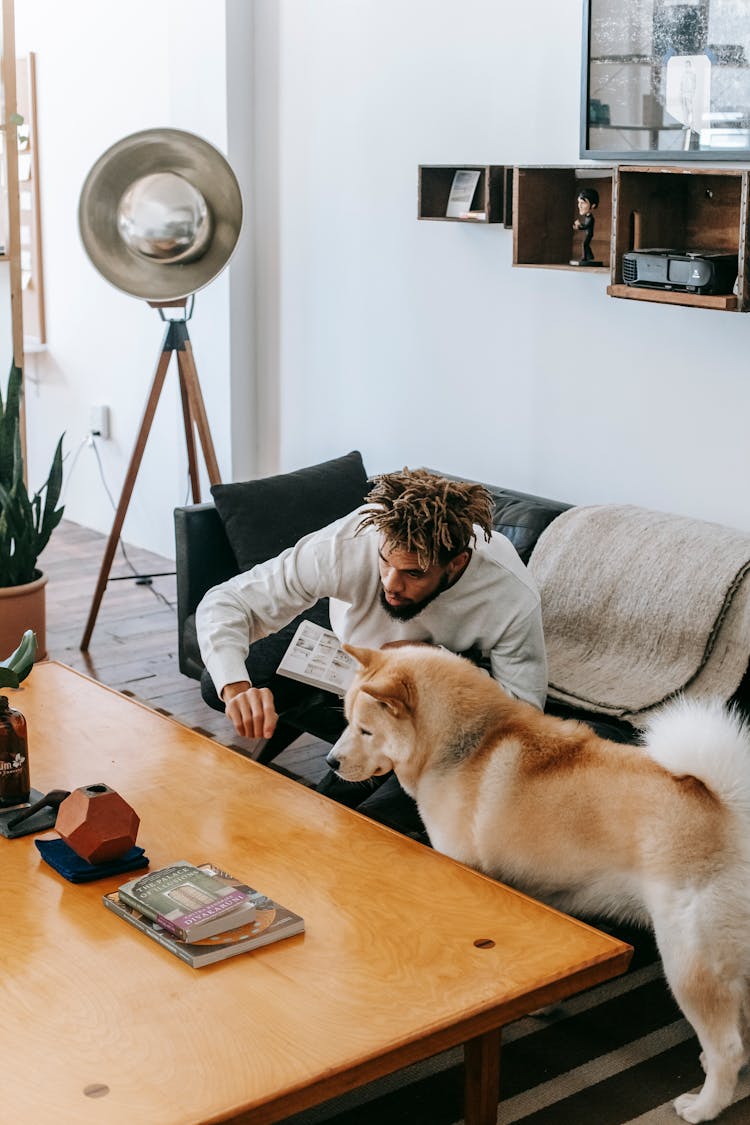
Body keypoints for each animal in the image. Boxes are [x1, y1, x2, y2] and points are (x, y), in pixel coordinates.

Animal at [328, 648, 750, 1120]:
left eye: (364, 730)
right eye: (346, 720)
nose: (330, 761)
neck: (465, 749)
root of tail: (731, 806)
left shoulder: (471, 874)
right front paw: (541, 1003)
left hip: (687, 961)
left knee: (729, 1047)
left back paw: (704, 1105)